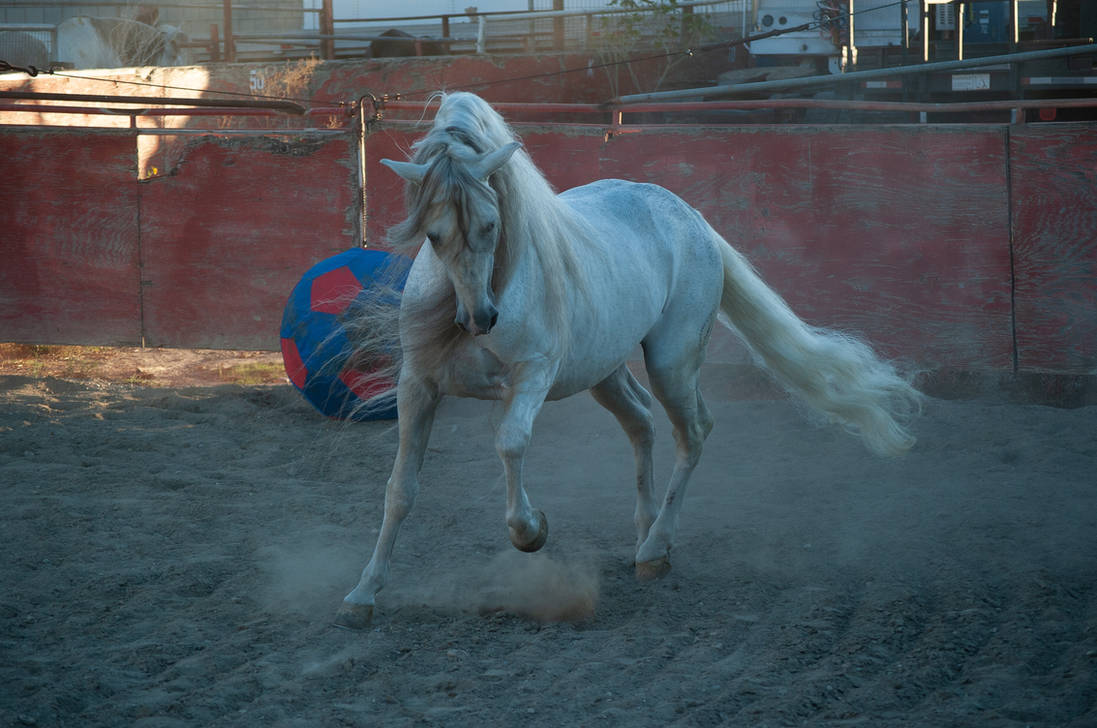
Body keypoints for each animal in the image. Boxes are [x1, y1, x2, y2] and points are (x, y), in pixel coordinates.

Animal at [334, 91, 922, 629]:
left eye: (491, 224)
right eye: (434, 235)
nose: (482, 318)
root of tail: (691, 218)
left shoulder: (532, 378)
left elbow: (510, 444)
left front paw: (532, 531)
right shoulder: (419, 387)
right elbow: (400, 489)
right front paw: (363, 594)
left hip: (670, 362)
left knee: (694, 431)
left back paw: (655, 549)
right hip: (605, 373)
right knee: (642, 422)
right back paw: (644, 531)